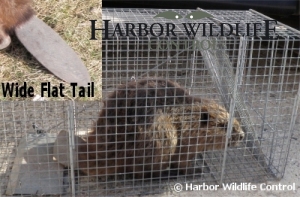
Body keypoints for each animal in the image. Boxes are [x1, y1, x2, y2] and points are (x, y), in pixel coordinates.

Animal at [77, 78, 244, 179]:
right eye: (223, 125)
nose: (242, 135)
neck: (187, 114)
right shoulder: (183, 138)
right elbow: (182, 160)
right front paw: (195, 171)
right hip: (162, 134)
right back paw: (164, 173)